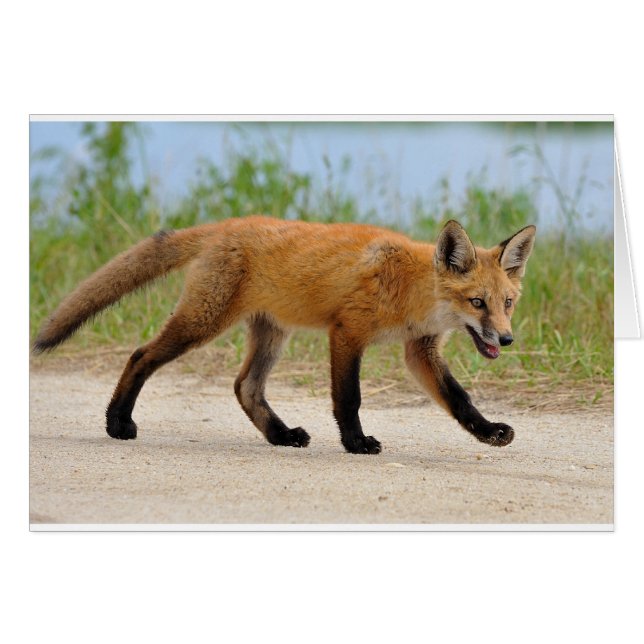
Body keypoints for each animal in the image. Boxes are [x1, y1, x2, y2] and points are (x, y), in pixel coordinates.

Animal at [34, 216, 536, 454]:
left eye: (508, 302)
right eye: (477, 302)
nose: (506, 340)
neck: (410, 291)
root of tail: (228, 224)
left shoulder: (420, 350)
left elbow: (460, 400)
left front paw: (488, 432)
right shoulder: (348, 332)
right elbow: (349, 399)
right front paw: (356, 444)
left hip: (271, 334)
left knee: (245, 387)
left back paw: (281, 435)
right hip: (202, 323)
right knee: (140, 356)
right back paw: (117, 422)